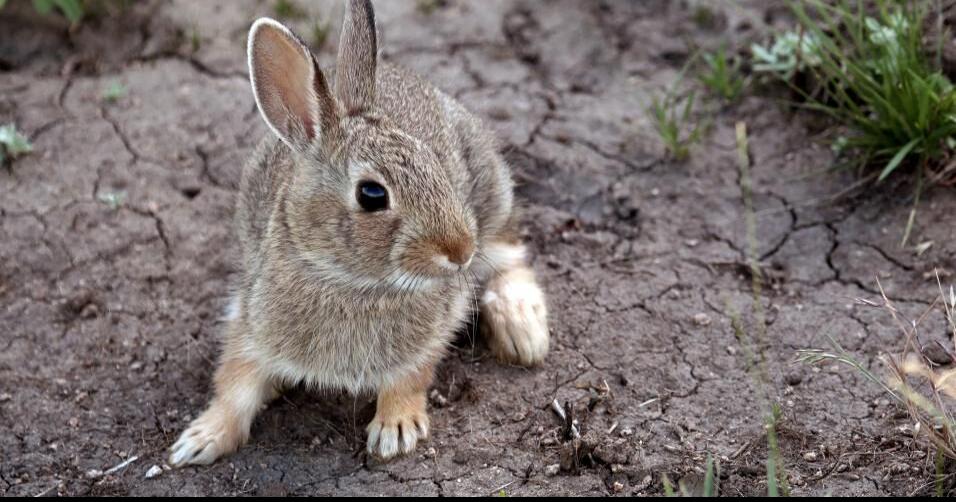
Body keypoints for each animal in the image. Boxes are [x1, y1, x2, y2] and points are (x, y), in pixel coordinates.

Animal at [168, 0, 549, 466]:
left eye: (434, 163)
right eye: (372, 194)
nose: (460, 250)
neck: (350, 281)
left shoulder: (430, 332)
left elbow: (410, 376)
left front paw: (395, 430)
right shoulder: (251, 321)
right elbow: (235, 384)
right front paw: (199, 440)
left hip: (491, 196)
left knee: (509, 255)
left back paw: (523, 332)